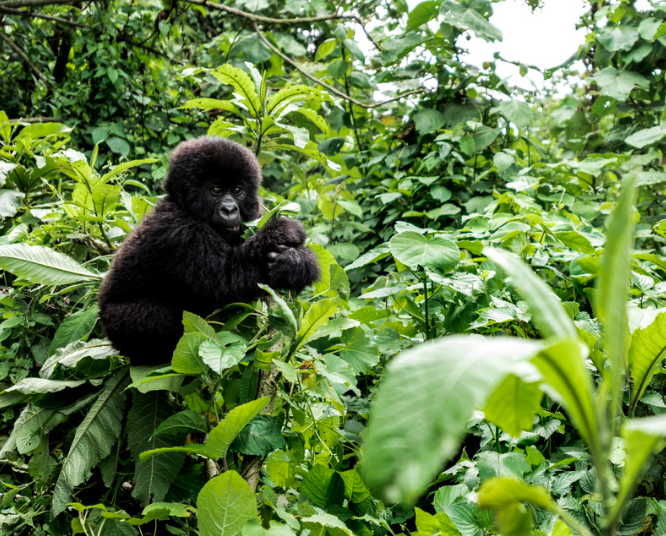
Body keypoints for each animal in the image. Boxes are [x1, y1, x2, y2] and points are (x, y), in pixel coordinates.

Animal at [96, 136, 322, 366]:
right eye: (215, 190)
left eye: (237, 190)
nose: (230, 210)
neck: (186, 207)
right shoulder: (177, 231)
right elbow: (226, 280)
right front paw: (281, 233)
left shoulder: (255, 213)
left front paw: (297, 263)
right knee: (149, 313)